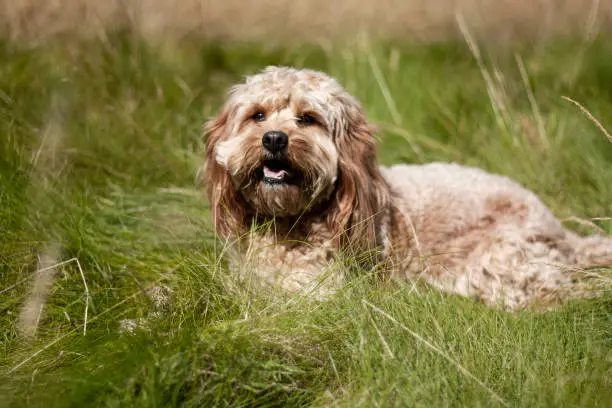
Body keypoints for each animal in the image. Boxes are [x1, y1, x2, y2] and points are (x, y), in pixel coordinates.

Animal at [202, 66, 612, 310]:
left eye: (308, 119)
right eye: (256, 115)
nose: (274, 138)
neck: (289, 224)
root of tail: (560, 230)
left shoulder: (323, 291)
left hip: (501, 267)